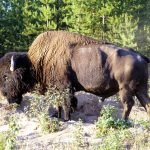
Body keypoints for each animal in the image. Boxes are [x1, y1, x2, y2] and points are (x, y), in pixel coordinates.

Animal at [0, 30, 150, 120]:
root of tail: (140, 57)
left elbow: (67, 103)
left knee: (128, 104)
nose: (4, 94)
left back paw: (122, 121)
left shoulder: (66, 88)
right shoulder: (58, 89)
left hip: (126, 89)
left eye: (5, 76)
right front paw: (57, 116)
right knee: (146, 104)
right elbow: (60, 103)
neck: (36, 62)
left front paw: (66, 119)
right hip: (141, 89)